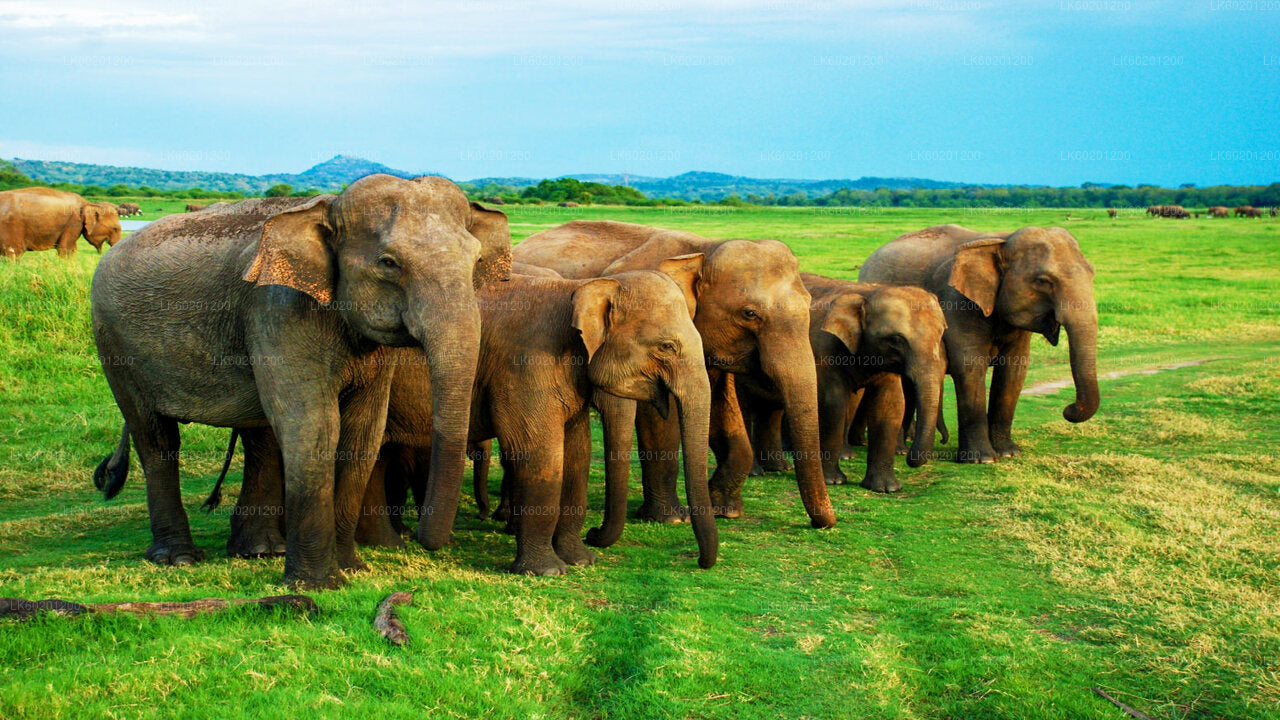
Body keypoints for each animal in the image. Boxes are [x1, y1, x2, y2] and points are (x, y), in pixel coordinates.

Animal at [90, 176, 512, 586]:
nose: (425, 540)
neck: (330, 206)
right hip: (114, 343)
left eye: (476, 260)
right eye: (389, 263)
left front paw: (352, 570)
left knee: (259, 434)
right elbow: (314, 426)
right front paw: (317, 585)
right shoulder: (278, 309)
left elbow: (363, 433)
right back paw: (178, 558)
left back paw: (259, 550)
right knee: (157, 439)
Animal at [512, 221, 839, 530]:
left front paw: (724, 510)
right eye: (749, 314)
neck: (704, 249)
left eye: (808, 305)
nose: (822, 524)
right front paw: (672, 519)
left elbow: (721, 406)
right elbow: (660, 416)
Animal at [732, 274, 952, 491]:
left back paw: (779, 467)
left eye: (941, 334)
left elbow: (890, 405)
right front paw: (834, 481)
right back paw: (755, 472)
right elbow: (833, 404)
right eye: (896, 339)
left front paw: (886, 488)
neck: (869, 293)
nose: (909, 458)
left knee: (772, 411)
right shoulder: (824, 350)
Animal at [855, 221, 1095, 461]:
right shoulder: (957, 302)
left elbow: (1014, 371)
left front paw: (1009, 453)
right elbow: (970, 366)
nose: (1068, 409)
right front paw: (983, 459)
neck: (1002, 240)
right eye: (1043, 281)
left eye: (1092, 274)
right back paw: (897, 449)